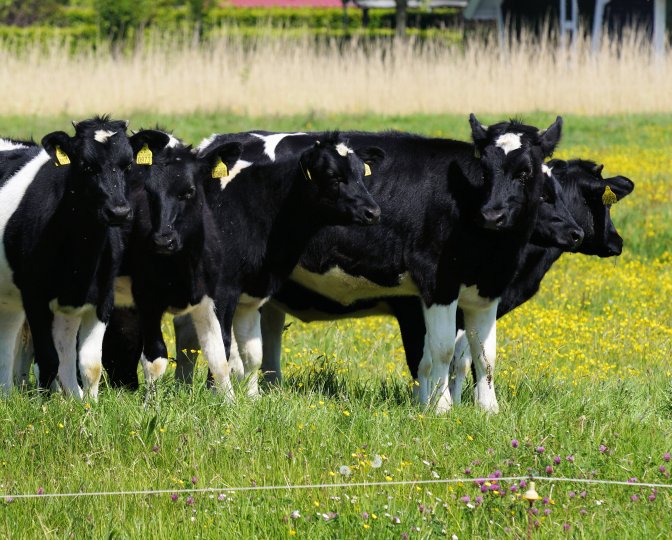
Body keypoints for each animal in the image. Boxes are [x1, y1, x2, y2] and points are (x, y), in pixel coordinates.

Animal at [0, 117, 133, 399]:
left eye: (128, 164)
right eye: (86, 165)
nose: (119, 211)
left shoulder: (101, 298)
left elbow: (89, 363)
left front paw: (86, 404)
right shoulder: (35, 297)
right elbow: (47, 359)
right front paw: (44, 403)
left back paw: (8, 394)